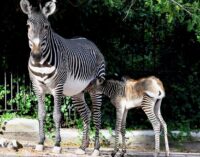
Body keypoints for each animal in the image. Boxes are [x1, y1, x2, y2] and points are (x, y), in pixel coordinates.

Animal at [19, 0, 105, 155]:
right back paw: (83, 147)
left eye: (46, 26)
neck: (42, 63)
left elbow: (57, 115)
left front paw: (57, 144)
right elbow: (41, 114)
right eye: (28, 26)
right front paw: (40, 143)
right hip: (77, 92)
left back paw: (96, 149)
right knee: (87, 114)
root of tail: (91, 42)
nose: (36, 55)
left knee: (97, 115)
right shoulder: (37, 88)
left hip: (96, 88)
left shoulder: (57, 88)